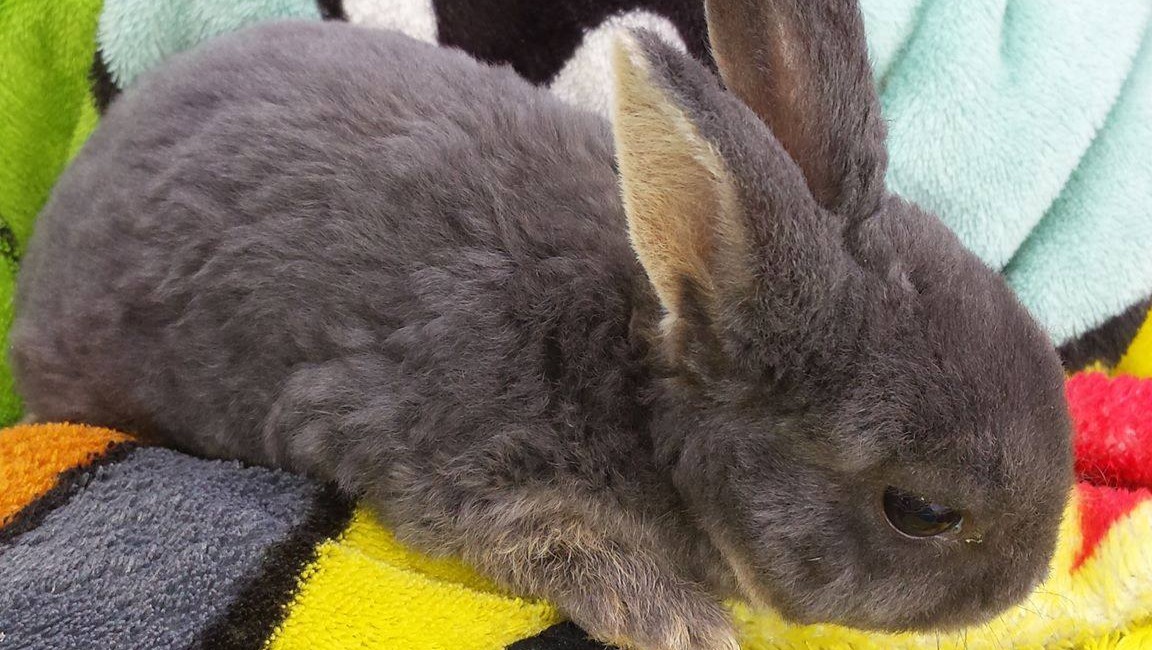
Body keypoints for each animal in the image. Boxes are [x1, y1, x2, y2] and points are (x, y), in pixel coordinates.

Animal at [10, 0, 1073, 647]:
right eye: (921, 512)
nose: (1025, 582)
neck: (639, 371)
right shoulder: (476, 470)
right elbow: (551, 544)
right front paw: (683, 623)